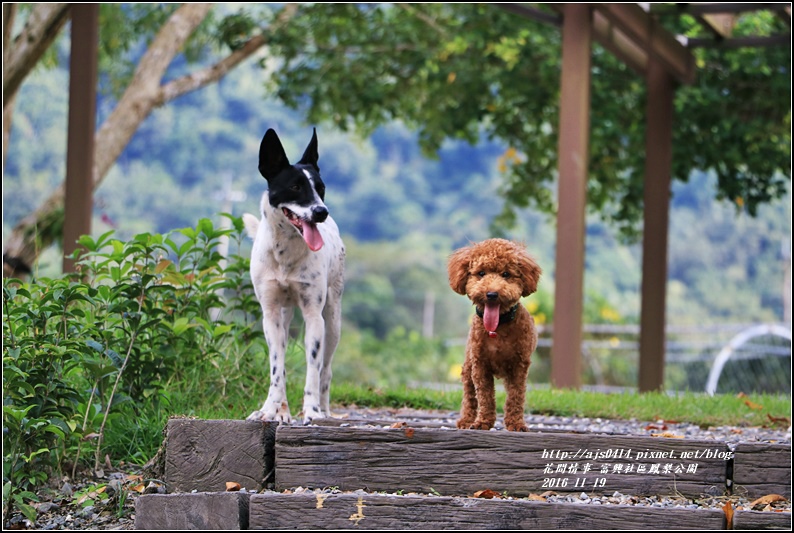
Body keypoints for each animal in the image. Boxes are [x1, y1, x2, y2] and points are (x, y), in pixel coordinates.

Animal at [243, 129, 344, 424]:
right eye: (296, 187)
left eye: (321, 188)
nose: (321, 212)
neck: (285, 253)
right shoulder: (270, 314)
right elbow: (277, 369)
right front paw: (270, 409)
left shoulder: (314, 315)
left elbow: (313, 367)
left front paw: (311, 411)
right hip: (285, 318)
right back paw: (282, 411)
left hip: (333, 317)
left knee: (326, 369)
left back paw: (324, 410)